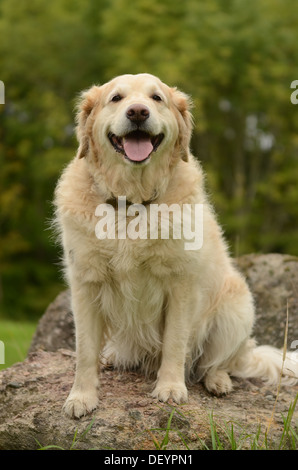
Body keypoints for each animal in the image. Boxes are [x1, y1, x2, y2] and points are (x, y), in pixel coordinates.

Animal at [54, 73, 298, 418]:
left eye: (157, 98)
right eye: (116, 98)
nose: (138, 112)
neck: (133, 203)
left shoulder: (180, 285)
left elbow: (174, 343)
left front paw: (170, 388)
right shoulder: (85, 283)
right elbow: (85, 349)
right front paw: (81, 397)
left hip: (236, 307)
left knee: (221, 361)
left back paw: (218, 380)